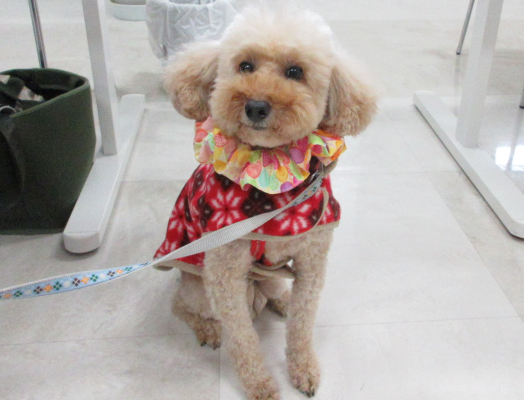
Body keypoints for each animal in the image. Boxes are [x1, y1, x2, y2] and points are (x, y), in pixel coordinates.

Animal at [155, 4, 377, 399]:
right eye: (245, 65)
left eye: (295, 72)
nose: (256, 106)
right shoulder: (225, 274)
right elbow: (242, 338)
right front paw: (260, 384)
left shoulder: (311, 261)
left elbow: (303, 323)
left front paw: (303, 369)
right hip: (203, 286)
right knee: (181, 305)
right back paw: (208, 328)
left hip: (268, 276)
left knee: (273, 292)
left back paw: (282, 301)